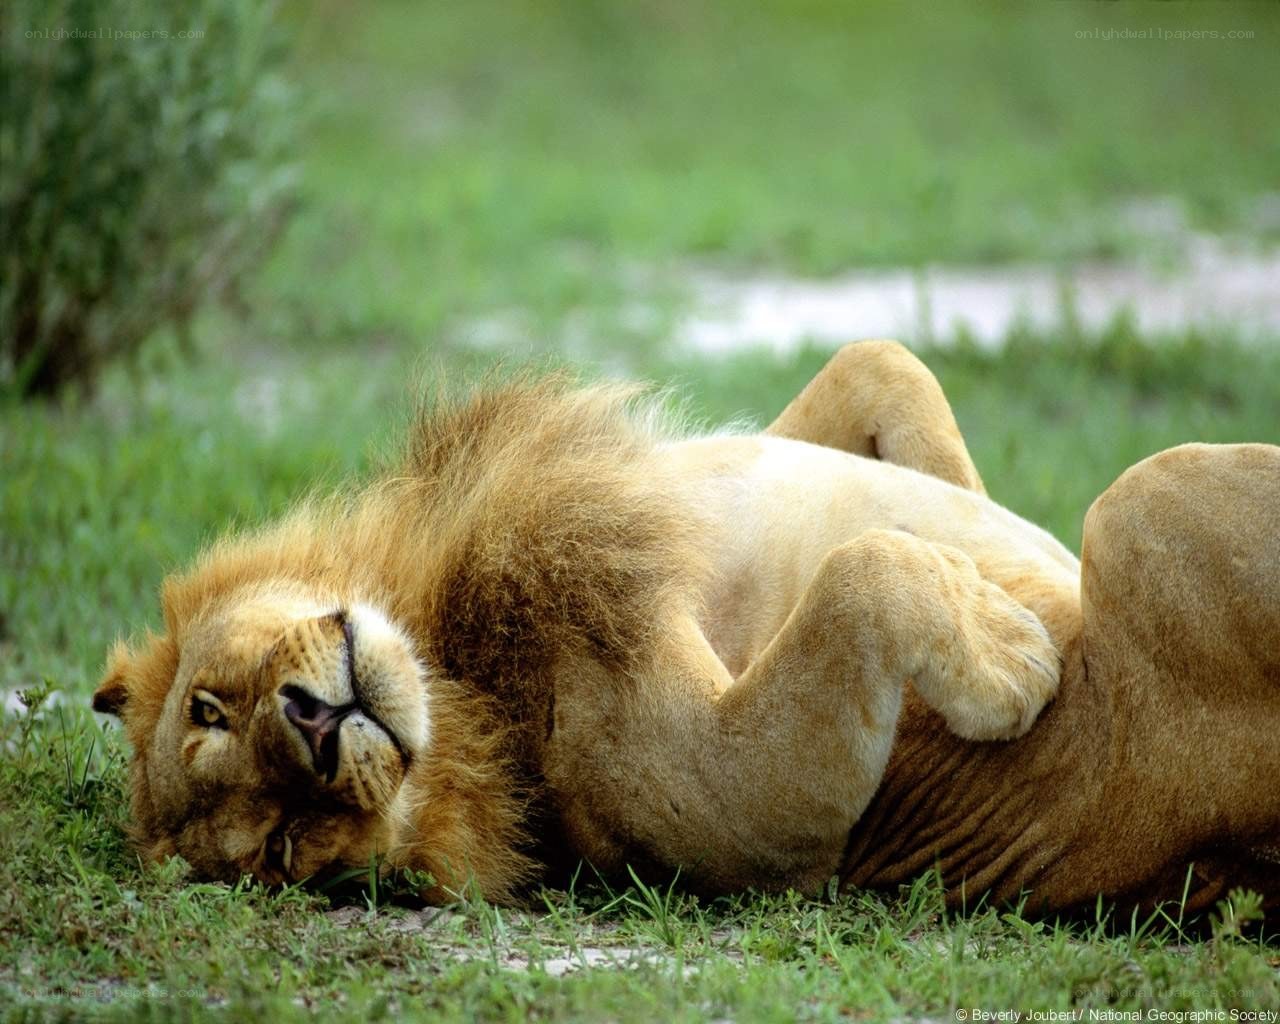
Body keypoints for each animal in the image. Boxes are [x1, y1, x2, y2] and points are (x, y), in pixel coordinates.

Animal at [94, 341, 1280, 914]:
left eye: (210, 708)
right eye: (283, 846)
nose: (312, 728)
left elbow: (879, 360)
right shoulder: (731, 798)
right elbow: (860, 573)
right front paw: (1010, 656)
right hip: (1148, 508)